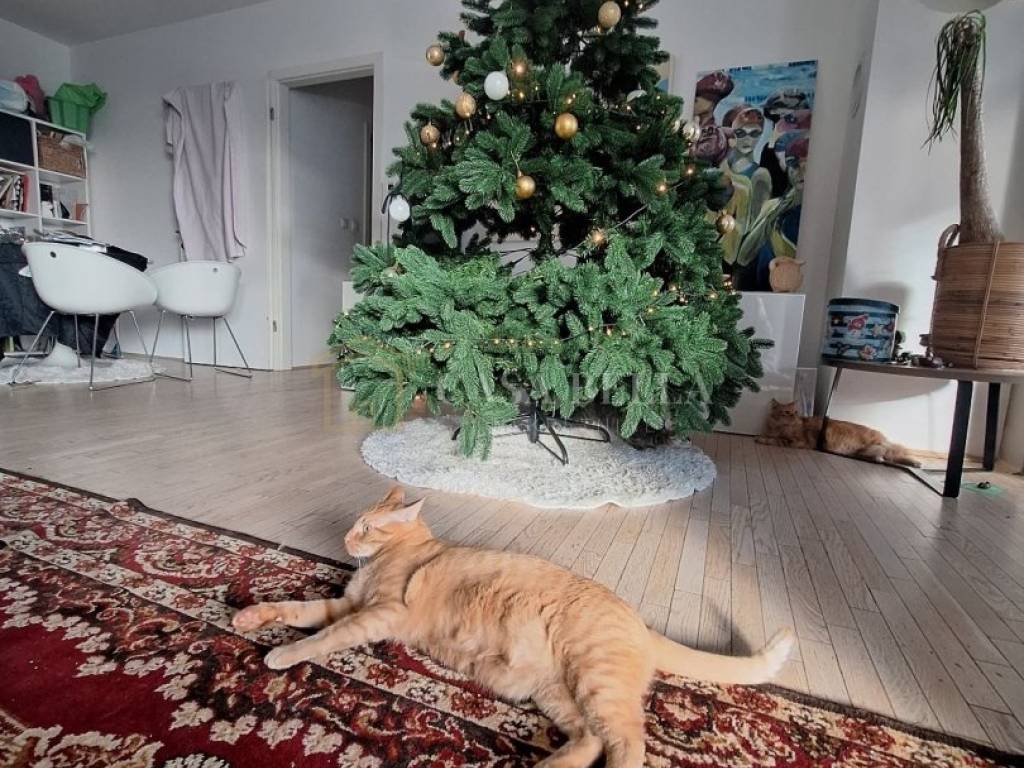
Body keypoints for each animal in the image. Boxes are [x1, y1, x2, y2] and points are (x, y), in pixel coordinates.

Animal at [233, 486, 795, 768]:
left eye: (367, 527)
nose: (347, 538)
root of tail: (638, 618)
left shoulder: (376, 614)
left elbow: (322, 638)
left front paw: (282, 654)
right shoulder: (343, 605)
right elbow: (295, 608)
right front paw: (251, 617)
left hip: (596, 680)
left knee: (627, 744)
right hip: (557, 692)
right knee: (591, 740)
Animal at [757, 399, 921, 467]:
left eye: (795, 412)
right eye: (786, 412)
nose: (794, 416)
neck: (779, 427)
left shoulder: (798, 441)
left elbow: (775, 440)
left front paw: (761, 439)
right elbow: (770, 436)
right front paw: (763, 436)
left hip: (875, 446)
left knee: (891, 455)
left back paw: (915, 462)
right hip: (869, 450)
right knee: (887, 457)